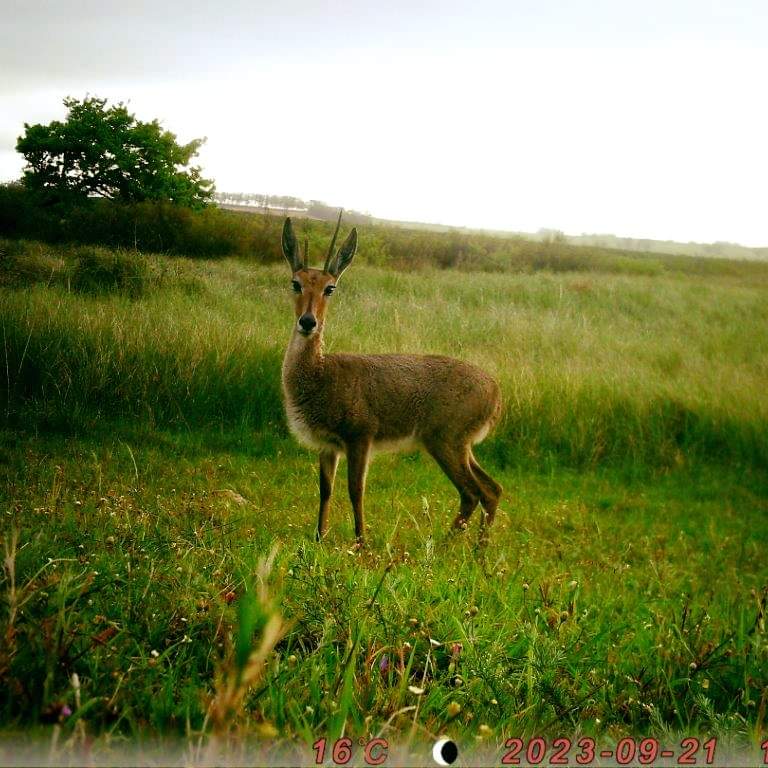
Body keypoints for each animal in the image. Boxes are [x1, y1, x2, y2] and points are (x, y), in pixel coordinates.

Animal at [282, 213, 504, 544]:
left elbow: (356, 489)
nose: (308, 322)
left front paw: (360, 542)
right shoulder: (328, 446)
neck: (321, 373)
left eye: (330, 288)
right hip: (463, 447)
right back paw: (476, 548)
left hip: (446, 442)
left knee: (473, 492)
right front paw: (319, 538)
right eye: (295, 283)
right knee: (492, 489)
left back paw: (442, 545)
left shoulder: (360, 438)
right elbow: (326, 490)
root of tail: (496, 391)